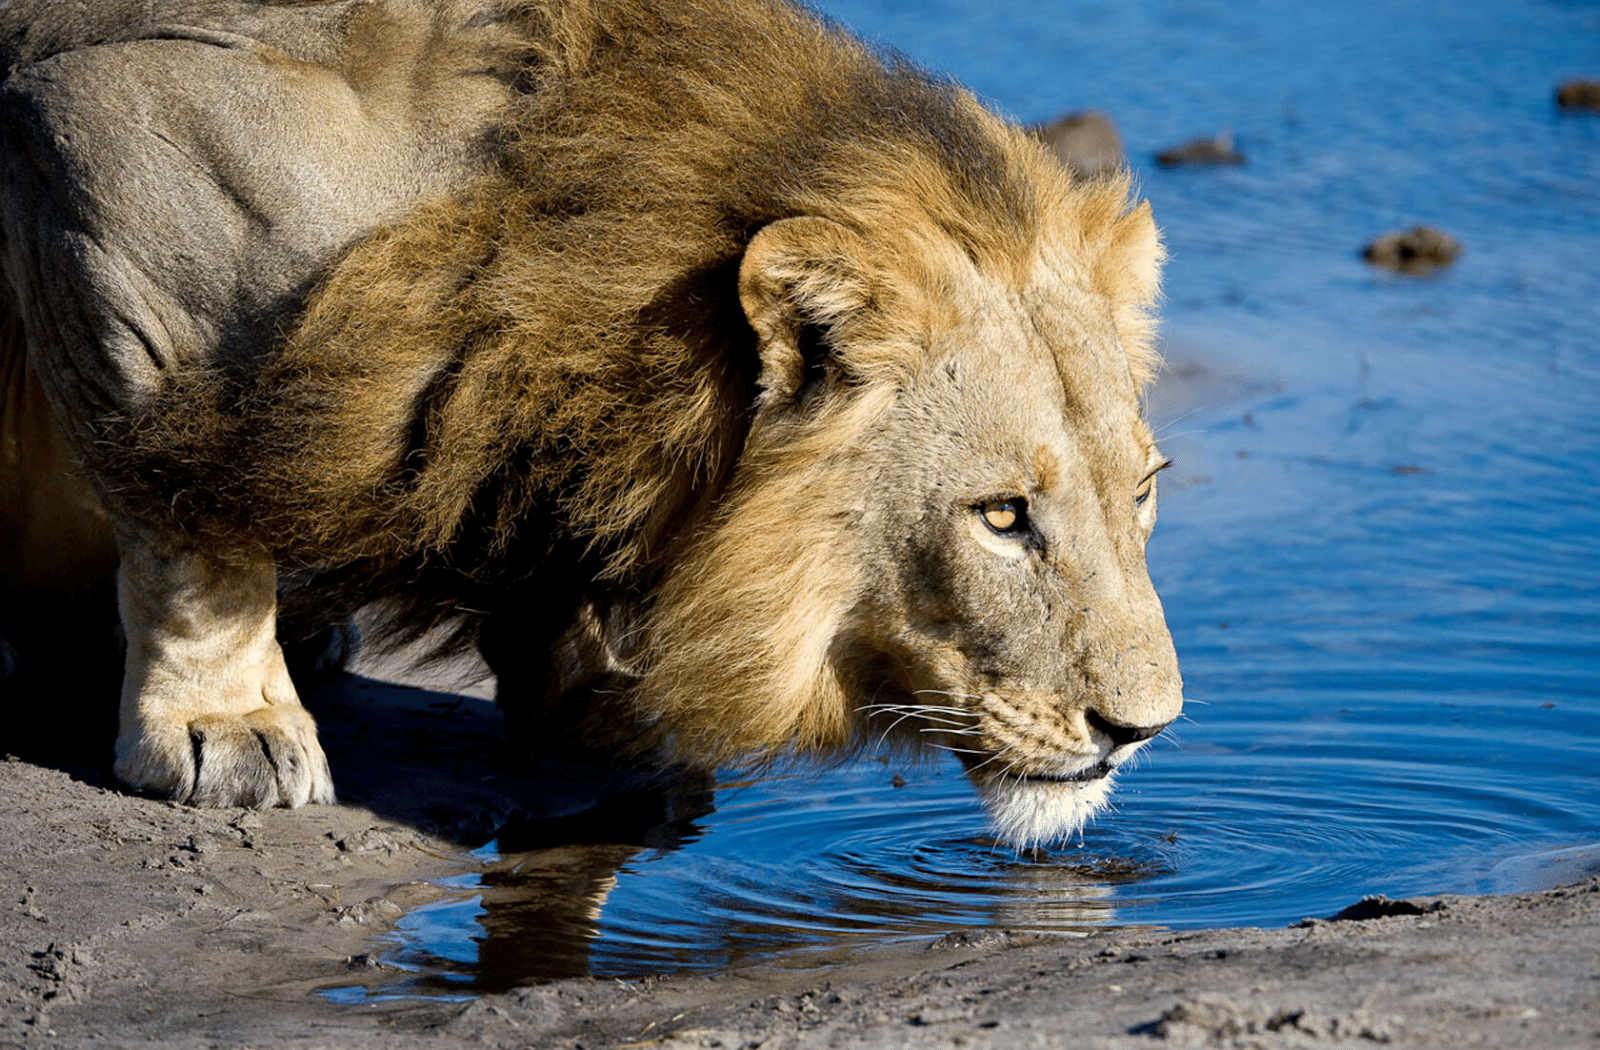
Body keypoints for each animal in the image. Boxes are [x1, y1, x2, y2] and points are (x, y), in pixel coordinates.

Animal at [0, 0, 1177, 845]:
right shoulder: (108, 156)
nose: (1142, 732)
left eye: (1143, 492)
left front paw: (586, 704)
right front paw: (228, 721)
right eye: (1000, 517)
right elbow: (192, 533)